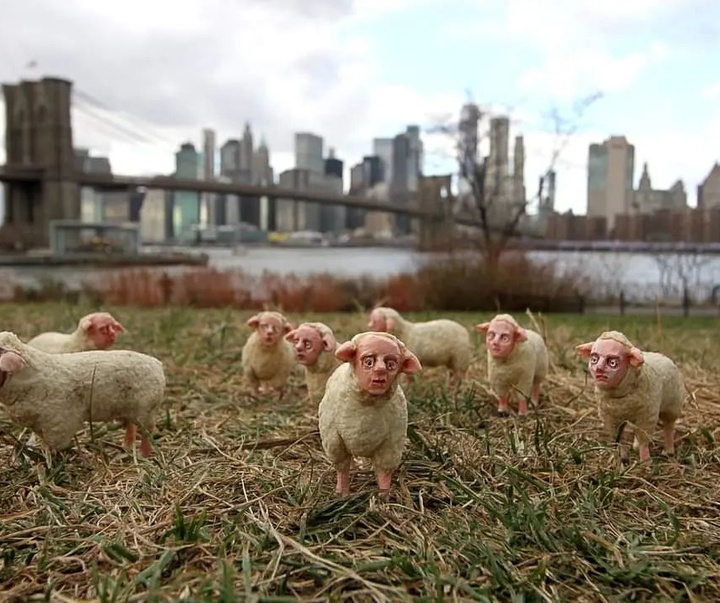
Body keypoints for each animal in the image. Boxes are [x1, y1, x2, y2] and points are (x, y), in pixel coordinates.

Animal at [0, 330, 165, 458]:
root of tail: (157, 364)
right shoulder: (40, 424)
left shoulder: (59, 424)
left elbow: (53, 444)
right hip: (128, 408)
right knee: (131, 427)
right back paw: (126, 447)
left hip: (146, 409)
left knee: (146, 433)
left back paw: (143, 454)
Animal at [316, 330, 422, 496]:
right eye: (368, 362)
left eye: (391, 364)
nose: (380, 371)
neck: (367, 404)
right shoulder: (335, 441)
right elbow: (342, 470)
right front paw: (343, 494)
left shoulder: (391, 445)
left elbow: (384, 473)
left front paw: (384, 495)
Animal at [572, 330, 688, 462]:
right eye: (594, 359)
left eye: (612, 362)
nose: (599, 370)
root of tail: (663, 356)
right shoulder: (610, 417)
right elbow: (617, 439)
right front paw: (620, 458)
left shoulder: (647, 416)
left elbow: (644, 440)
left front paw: (645, 462)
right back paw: (636, 447)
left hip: (672, 406)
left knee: (668, 427)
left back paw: (668, 451)